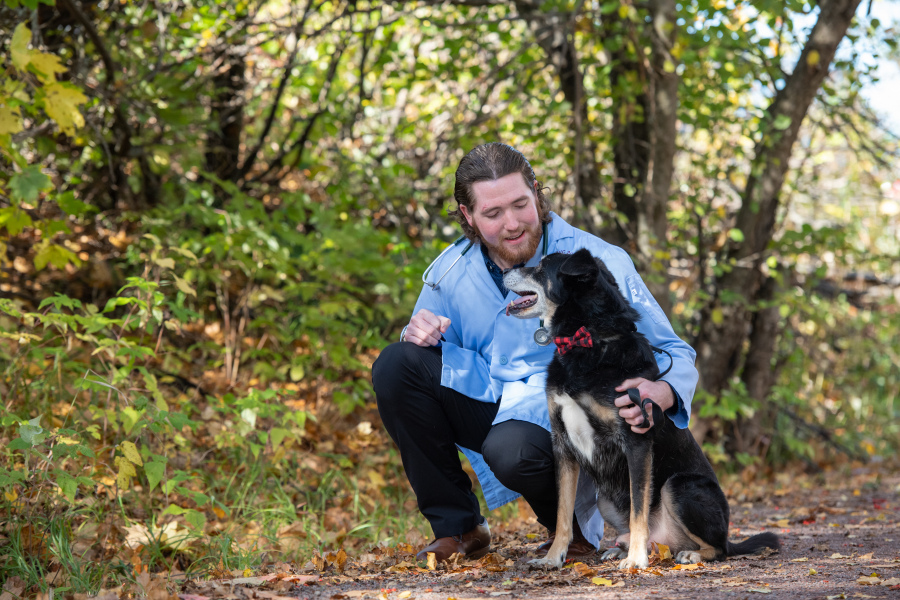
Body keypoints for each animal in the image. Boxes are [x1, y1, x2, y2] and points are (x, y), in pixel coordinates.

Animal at [502, 251, 776, 568]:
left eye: (541, 266)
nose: (505, 270)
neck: (588, 340)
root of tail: (666, 543)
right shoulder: (563, 445)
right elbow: (563, 515)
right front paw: (553, 557)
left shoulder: (636, 441)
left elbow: (638, 509)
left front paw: (636, 559)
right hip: (605, 499)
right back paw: (622, 548)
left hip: (679, 487)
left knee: (719, 547)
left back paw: (687, 552)